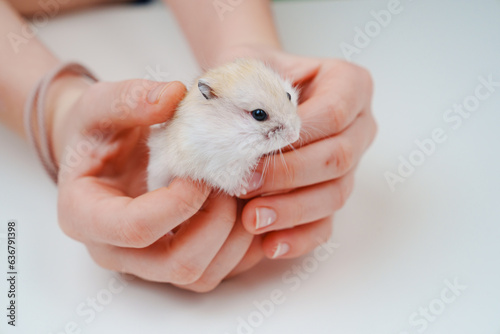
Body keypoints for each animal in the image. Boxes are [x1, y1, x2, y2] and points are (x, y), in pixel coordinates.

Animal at [146, 59, 300, 196]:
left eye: (288, 95)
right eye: (259, 114)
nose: (294, 136)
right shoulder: (212, 163)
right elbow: (225, 179)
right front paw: (244, 189)